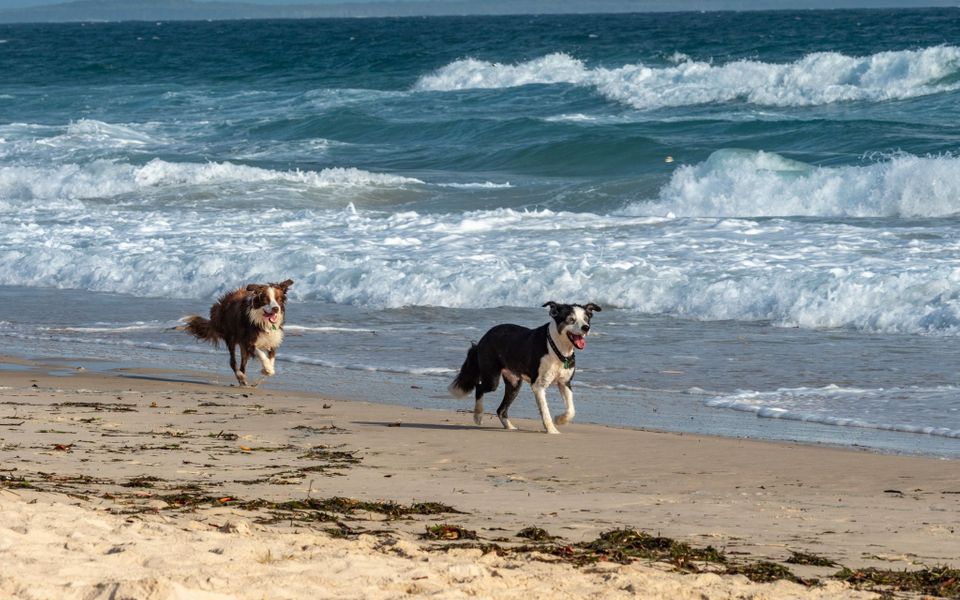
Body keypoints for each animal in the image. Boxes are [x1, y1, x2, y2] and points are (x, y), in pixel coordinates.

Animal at [448, 302, 600, 434]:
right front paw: (552, 430)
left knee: (500, 409)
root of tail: (482, 339)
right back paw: (478, 416)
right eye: (571, 320)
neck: (556, 348)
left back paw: (510, 427)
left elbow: (571, 410)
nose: (586, 327)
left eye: (586, 319)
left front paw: (560, 420)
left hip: (514, 383)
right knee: (479, 388)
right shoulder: (538, 386)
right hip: (492, 378)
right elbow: (545, 411)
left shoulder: (565, 382)